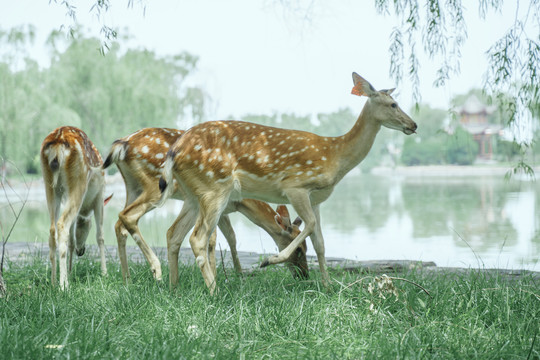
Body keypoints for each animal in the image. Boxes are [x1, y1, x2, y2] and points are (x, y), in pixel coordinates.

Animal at [40, 126, 109, 290]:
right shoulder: (100, 195)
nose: (81, 251)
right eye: (87, 226)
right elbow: (100, 235)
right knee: (62, 224)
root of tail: (58, 142)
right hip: (79, 180)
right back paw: (64, 286)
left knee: (52, 229)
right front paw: (104, 273)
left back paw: (53, 281)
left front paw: (71, 272)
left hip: (50, 185)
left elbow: (71, 240)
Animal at [103, 128, 308, 286]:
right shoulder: (216, 203)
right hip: (155, 186)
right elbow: (213, 240)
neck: (243, 203)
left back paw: (127, 281)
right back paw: (156, 270)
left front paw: (238, 274)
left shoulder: (224, 210)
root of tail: (121, 145)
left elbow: (231, 237)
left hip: (132, 186)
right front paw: (220, 277)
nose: (304, 275)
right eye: (299, 249)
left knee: (119, 224)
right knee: (128, 216)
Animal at [158, 72, 416, 292]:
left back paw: (174, 289)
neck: (335, 155)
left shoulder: (316, 198)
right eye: (393, 104)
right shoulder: (295, 186)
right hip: (214, 188)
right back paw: (214, 292)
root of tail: (175, 151)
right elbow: (309, 225)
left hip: (194, 194)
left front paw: (328, 287)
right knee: (197, 238)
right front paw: (271, 260)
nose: (413, 125)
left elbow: (321, 242)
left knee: (173, 233)